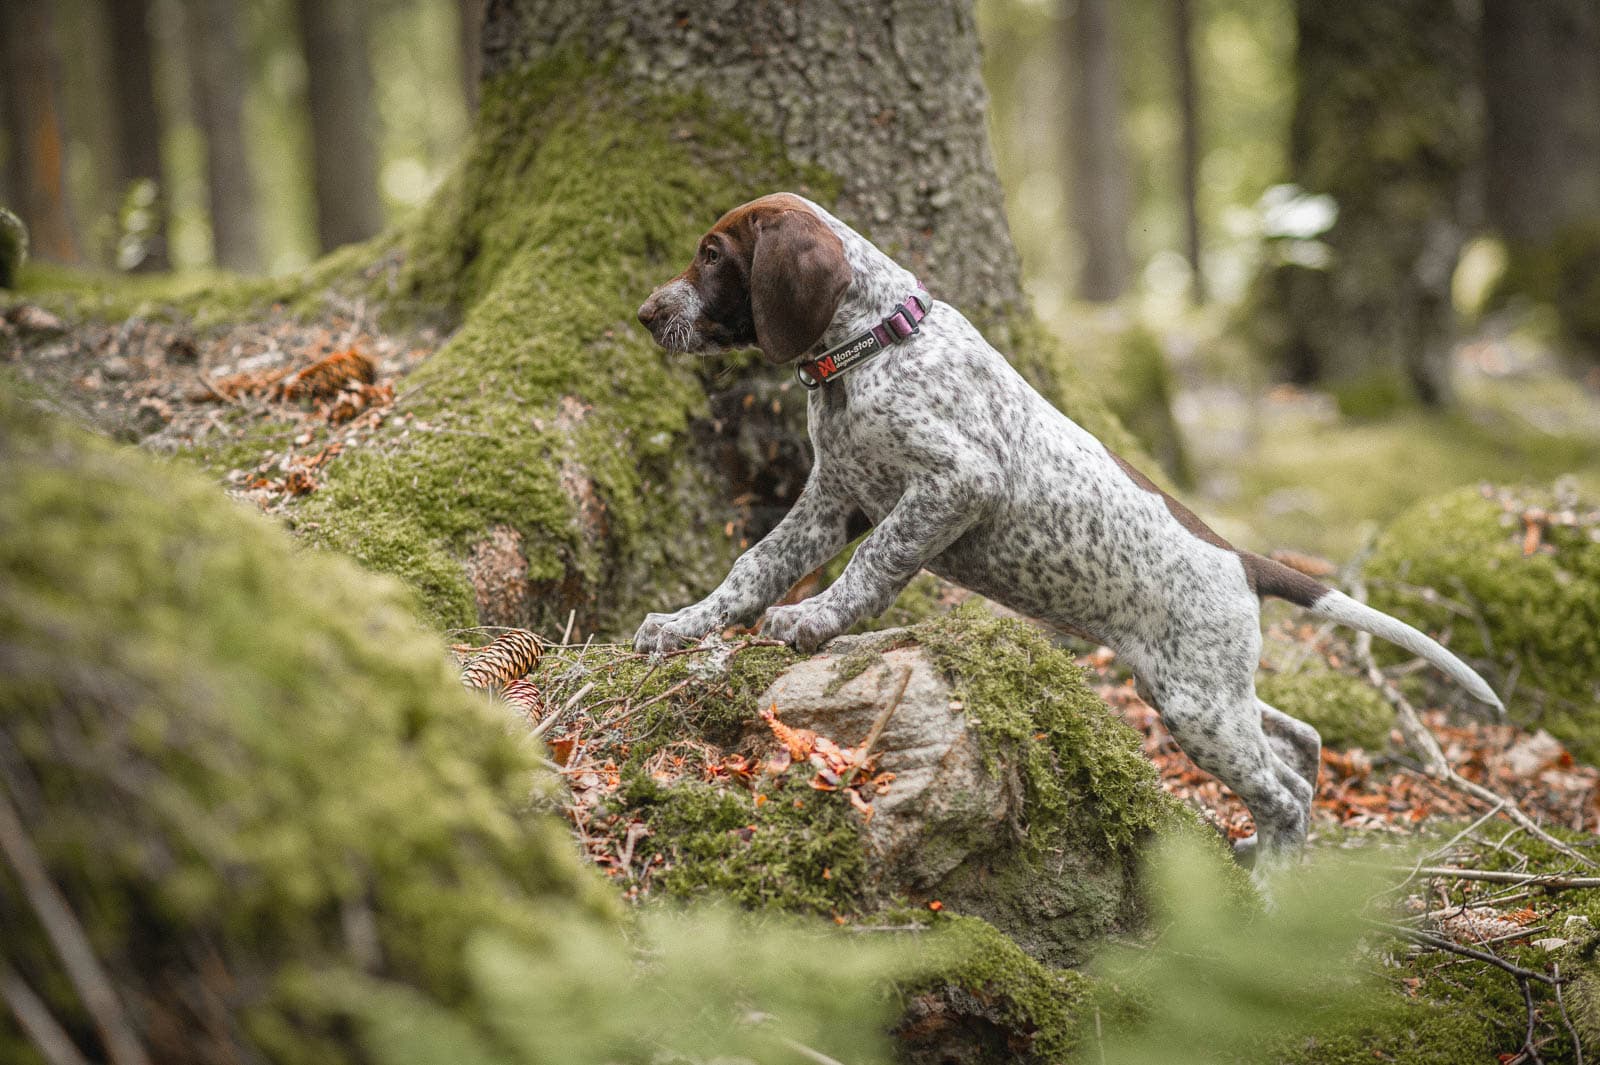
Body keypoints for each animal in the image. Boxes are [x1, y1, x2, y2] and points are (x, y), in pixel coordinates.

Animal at [633, 195, 1497, 876]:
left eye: (712, 255)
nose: (647, 313)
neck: (874, 341)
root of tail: (1243, 560)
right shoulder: (833, 499)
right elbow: (752, 565)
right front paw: (682, 624)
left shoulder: (955, 483)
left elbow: (874, 565)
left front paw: (816, 620)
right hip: (1188, 686)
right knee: (1301, 742)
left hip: (1197, 705)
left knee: (1282, 793)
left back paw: (1268, 894)